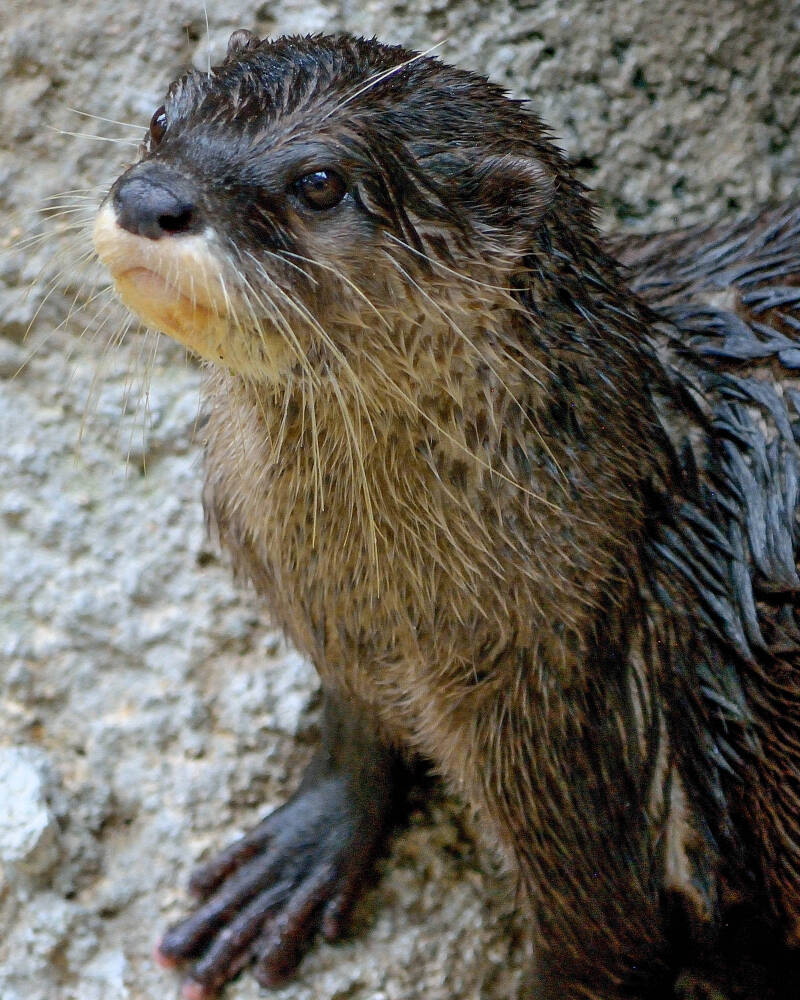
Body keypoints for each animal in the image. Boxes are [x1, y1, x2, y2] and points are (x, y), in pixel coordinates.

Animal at [91, 30, 800, 1000]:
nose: (149, 196)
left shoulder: (576, 732)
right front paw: (300, 851)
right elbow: (354, 719)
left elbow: (608, 941)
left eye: (320, 181)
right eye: (162, 120)